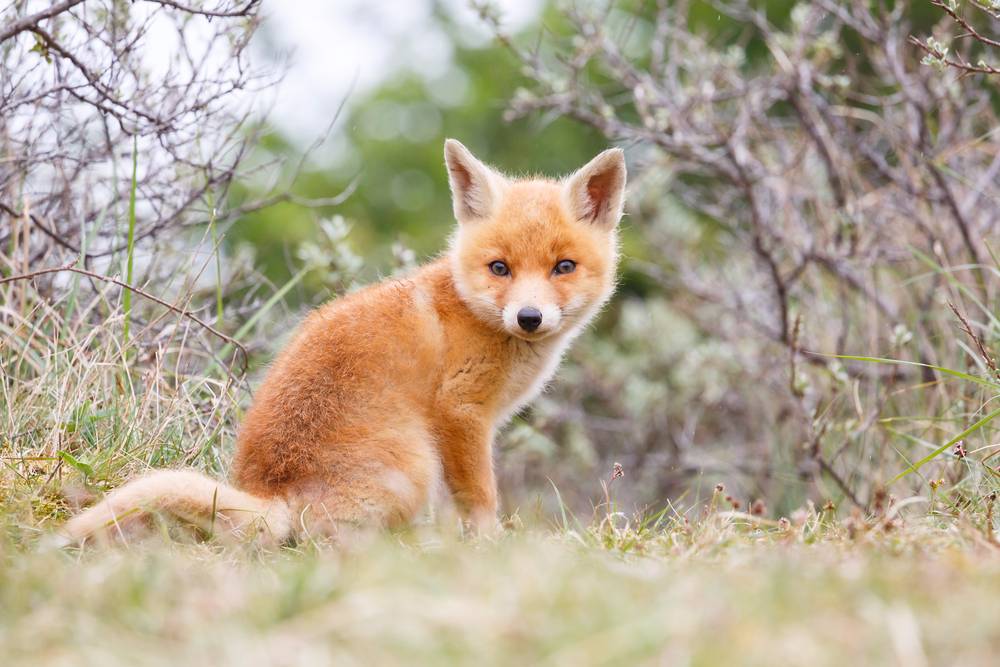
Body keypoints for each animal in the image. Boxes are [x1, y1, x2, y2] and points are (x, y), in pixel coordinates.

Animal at [58, 138, 624, 544]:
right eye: (500, 268)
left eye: (563, 267)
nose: (529, 317)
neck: (469, 310)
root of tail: (273, 491)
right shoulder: (460, 414)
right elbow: (481, 500)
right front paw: (489, 550)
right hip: (415, 464)